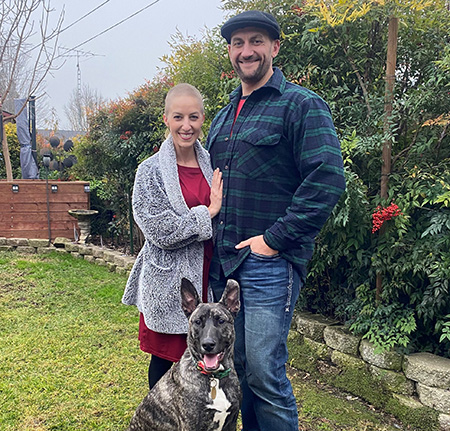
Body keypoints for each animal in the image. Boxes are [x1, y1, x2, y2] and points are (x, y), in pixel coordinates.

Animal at [125, 278, 243, 430]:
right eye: (197, 321)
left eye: (221, 321)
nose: (208, 344)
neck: (214, 378)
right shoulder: (190, 425)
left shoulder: (231, 421)